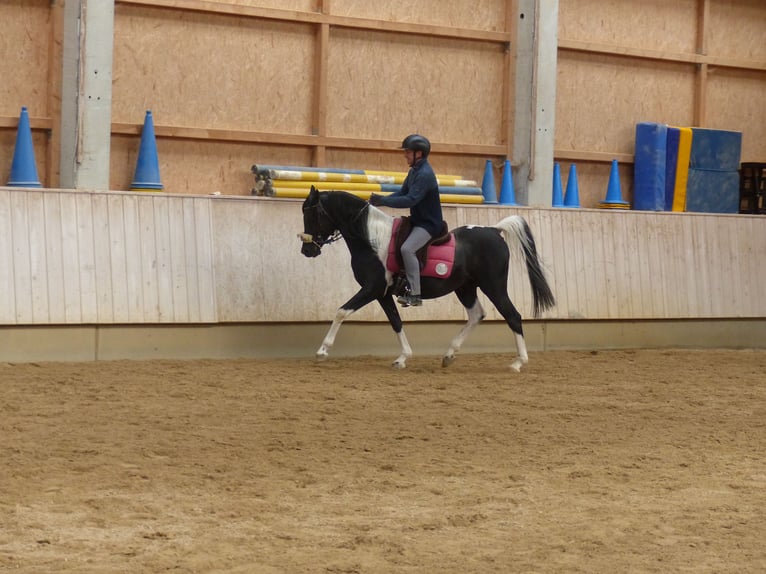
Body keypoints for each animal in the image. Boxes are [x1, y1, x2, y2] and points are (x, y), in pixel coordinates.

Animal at [298, 186, 555, 371]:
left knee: (513, 316)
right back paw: (449, 355)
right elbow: (395, 322)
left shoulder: (372, 289)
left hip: (494, 286)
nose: (307, 250)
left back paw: (518, 362)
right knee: (476, 315)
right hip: (466, 288)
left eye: (312, 214)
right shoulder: (382, 294)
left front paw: (322, 351)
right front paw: (402, 358)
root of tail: (493, 230)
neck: (371, 240)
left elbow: (341, 312)